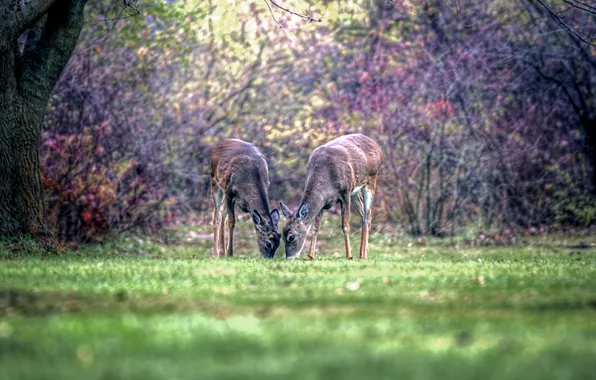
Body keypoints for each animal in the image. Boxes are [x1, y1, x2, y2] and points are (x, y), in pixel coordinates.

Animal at [280, 132, 382, 260]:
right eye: (281, 235)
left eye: (292, 237)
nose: (289, 257)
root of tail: (376, 145)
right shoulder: (323, 203)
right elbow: (315, 228)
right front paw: (311, 255)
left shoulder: (345, 192)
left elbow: (345, 226)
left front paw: (349, 256)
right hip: (355, 191)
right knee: (365, 215)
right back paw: (363, 253)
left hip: (371, 180)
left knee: (367, 216)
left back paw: (362, 255)